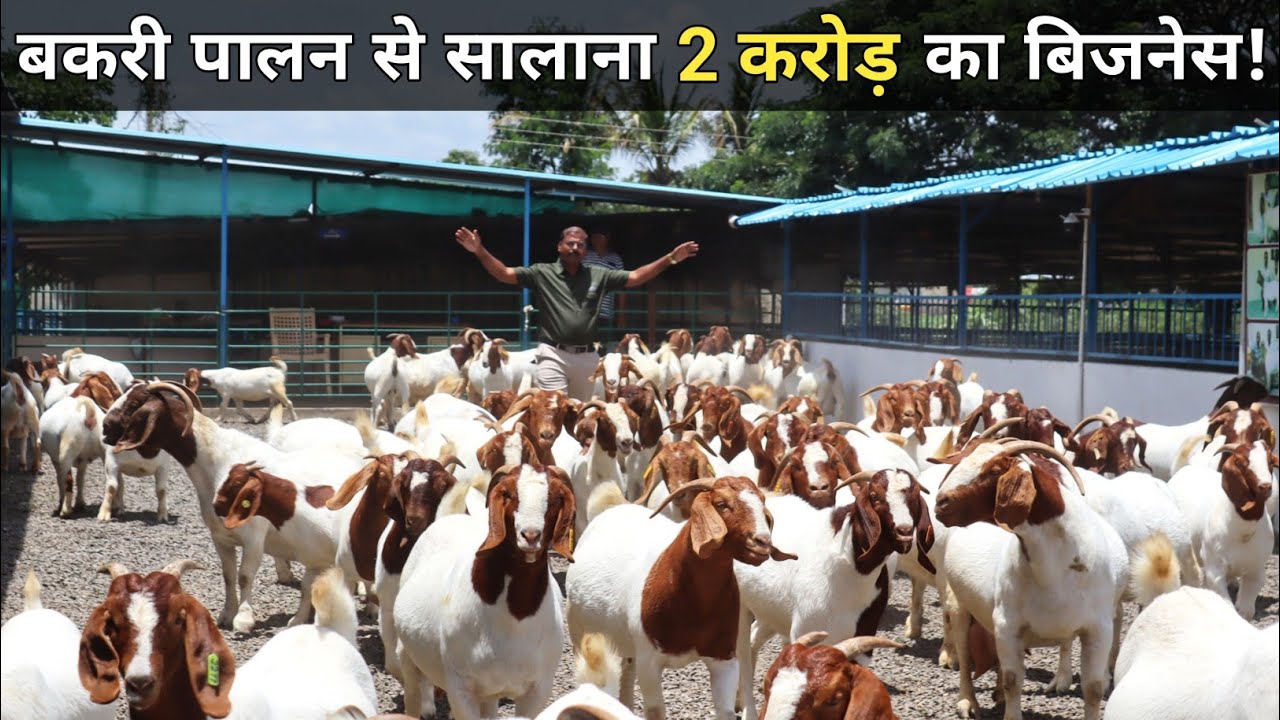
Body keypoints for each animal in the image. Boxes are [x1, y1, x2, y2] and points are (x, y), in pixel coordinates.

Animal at [394, 463, 575, 719]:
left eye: (556, 497)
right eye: (507, 493)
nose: (530, 535)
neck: (515, 618)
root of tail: (449, 518)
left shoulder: (537, 690)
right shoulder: (460, 688)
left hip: (489, 692)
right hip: (408, 655)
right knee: (412, 693)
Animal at [566, 476, 796, 720]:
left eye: (762, 502)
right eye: (721, 504)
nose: (762, 542)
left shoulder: (724, 658)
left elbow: (724, 710)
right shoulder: (649, 662)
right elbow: (656, 711)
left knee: (626, 673)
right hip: (579, 633)